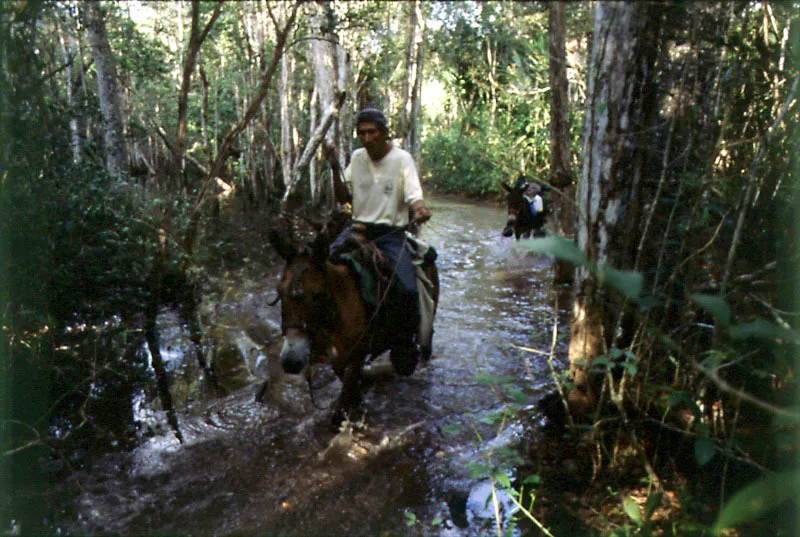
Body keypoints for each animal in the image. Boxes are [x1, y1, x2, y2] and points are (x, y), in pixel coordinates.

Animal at [268, 226, 438, 422]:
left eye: (319, 294)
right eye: (279, 291)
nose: (291, 361)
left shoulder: (358, 352)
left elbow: (345, 393)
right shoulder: (337, 355)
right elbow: (347, 380)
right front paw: (357, 401)